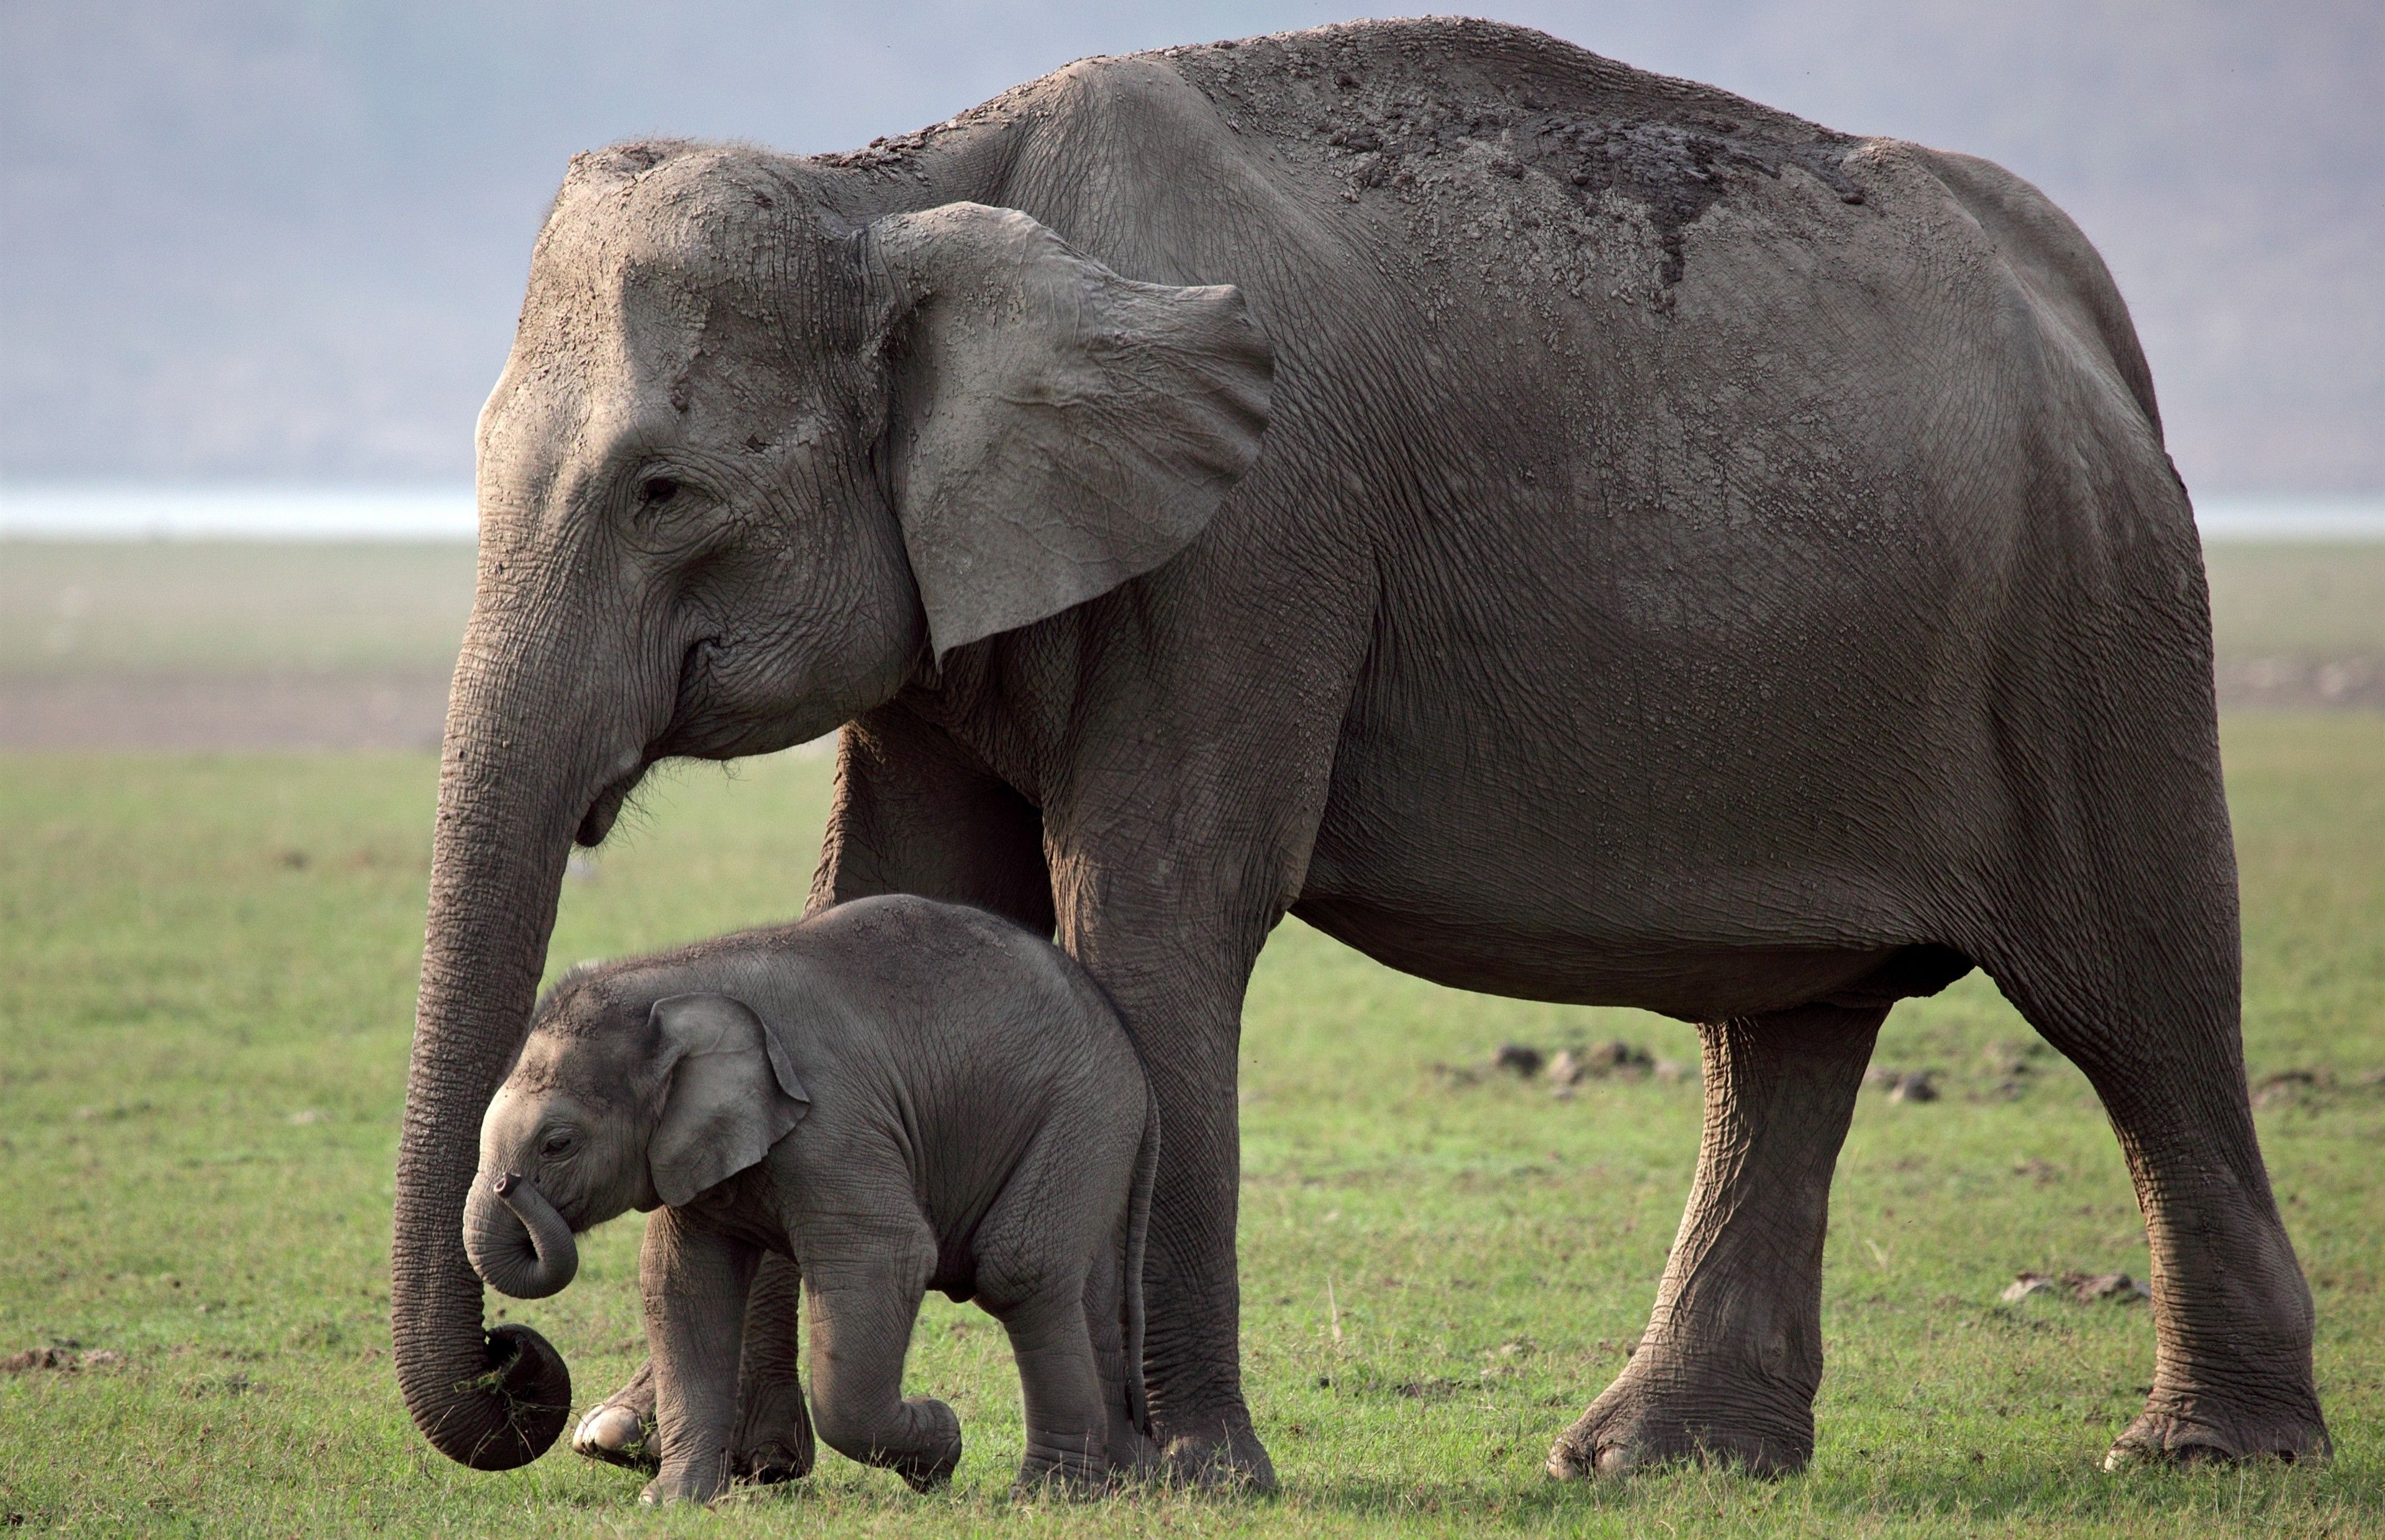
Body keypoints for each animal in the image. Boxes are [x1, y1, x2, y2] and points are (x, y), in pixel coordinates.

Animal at [462, 891, 1154, 1506]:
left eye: (558, 1143)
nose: (508, 1185)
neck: (678, 981)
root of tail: (1132, 1054)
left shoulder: (834, 1123)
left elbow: (888, 1255)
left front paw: (941, 1447)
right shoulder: (696, 1147)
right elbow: (685, 1282)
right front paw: (672, 1503)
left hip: (1083, 1114)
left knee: (1019, 1272)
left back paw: (1049, 1496)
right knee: (1076, 1289)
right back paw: (1102, 1487)